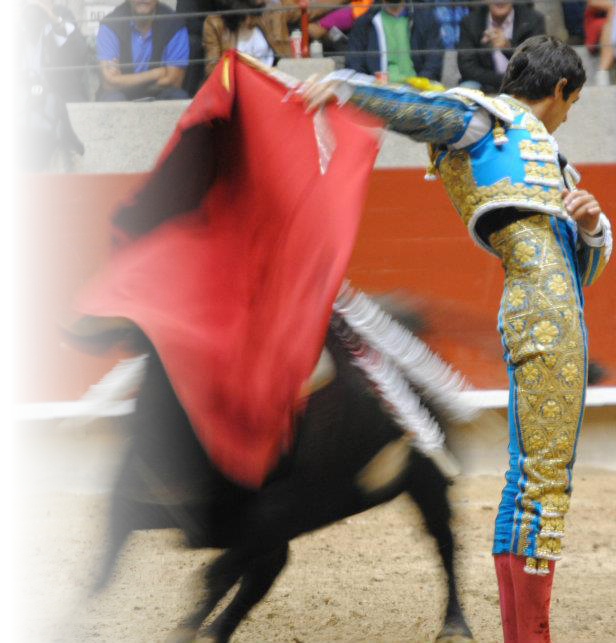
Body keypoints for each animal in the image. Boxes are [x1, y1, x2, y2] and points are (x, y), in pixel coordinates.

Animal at [80, 328, 476, 643]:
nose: (148, 480)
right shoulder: (137, 510)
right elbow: (98, 580)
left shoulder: (271, 519)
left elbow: (217, 575)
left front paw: (188, 632)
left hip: (428, 483)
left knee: (444, 541)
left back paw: (455, 626)